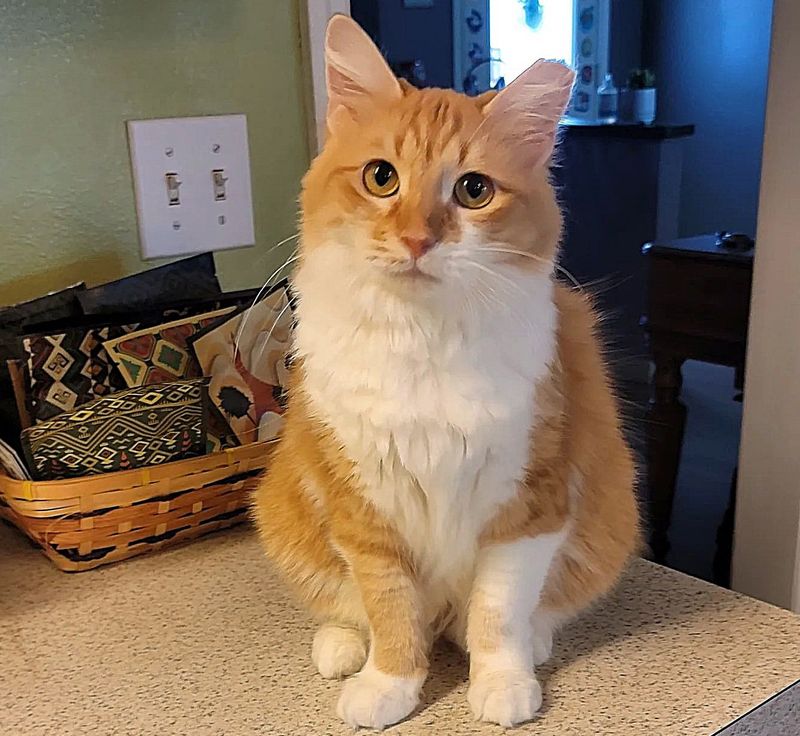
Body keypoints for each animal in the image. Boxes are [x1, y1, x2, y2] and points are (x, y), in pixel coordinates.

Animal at [253, 15, 640, 732]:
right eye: (382, 178)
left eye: (473, 190)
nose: (417, 239)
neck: (423, 338)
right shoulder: (365, 514)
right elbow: (391, 615)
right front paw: (390, 686)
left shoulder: (527, 508)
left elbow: (496, 616)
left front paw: (502, 683)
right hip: (288, 516)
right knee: (347, 612)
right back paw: (341, 648)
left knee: (514, 618)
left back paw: (532, 643)